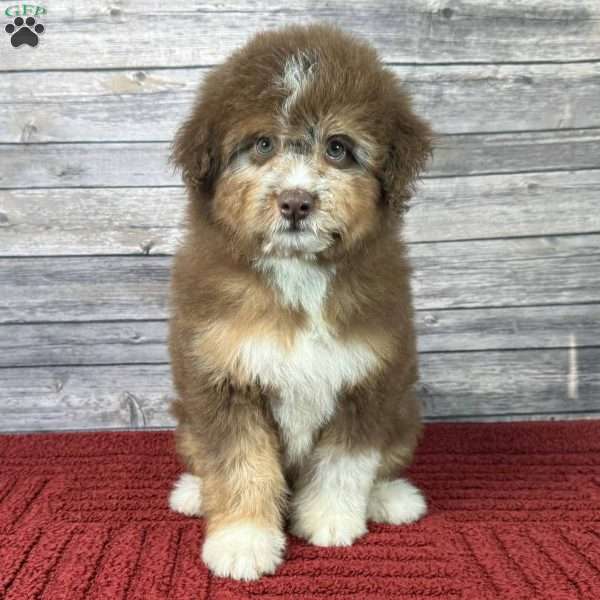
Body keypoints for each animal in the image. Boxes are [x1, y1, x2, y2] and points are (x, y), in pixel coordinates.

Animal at [166, 23, 434, 580]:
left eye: (337, 148)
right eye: (263, 144)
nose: (295, 201)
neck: (298, 272)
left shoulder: (369, 378)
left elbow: (345, 463)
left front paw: (330, 521)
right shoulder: (220, 378)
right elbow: (238, 463)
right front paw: (243, 541)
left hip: (404, 411)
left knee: (385, 460)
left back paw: (390, 498)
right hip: (187, 420)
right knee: (202, 458)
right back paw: (194, 494)